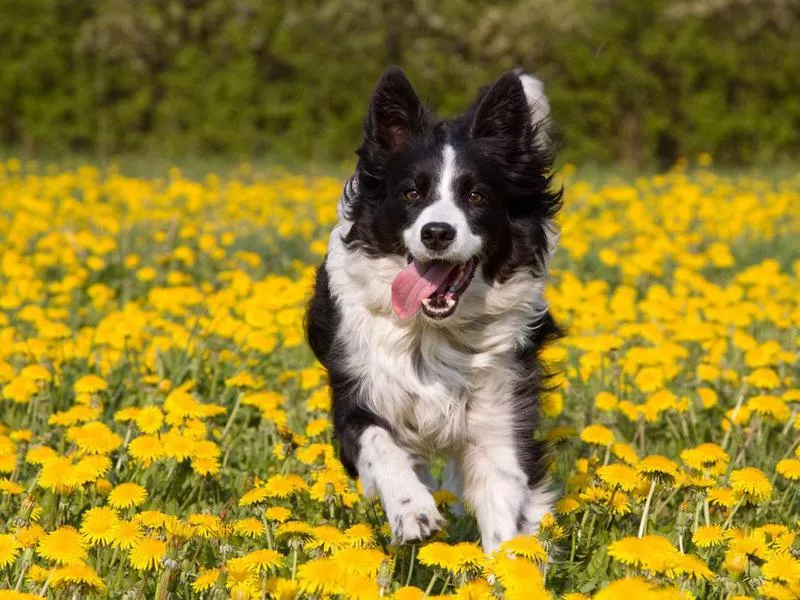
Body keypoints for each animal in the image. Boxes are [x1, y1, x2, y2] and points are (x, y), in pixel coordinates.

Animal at [306, 67, 564, 552]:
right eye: (411, 193)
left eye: (477, 196)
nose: (437, 232)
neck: (433, 331)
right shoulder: (356, 391)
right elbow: (380, 445)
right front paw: (413, 511)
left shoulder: (499, 413)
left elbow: (504, 511)